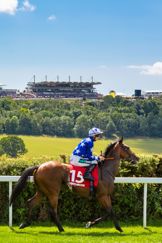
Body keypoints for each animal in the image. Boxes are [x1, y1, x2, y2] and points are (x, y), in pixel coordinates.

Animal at [10, 138, 139, 233]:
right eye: (127, 147)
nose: (137, 158)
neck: (107, 170)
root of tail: (39, 166)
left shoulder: (104, 196)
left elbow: (110, 212)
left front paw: (117, 227)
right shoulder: (102, 195)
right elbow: (109, 212)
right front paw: (91, 224)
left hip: (42, 190)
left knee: (31, 202)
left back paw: (25, 223)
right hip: (53, 191)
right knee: (52, 209)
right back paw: (61, 228)